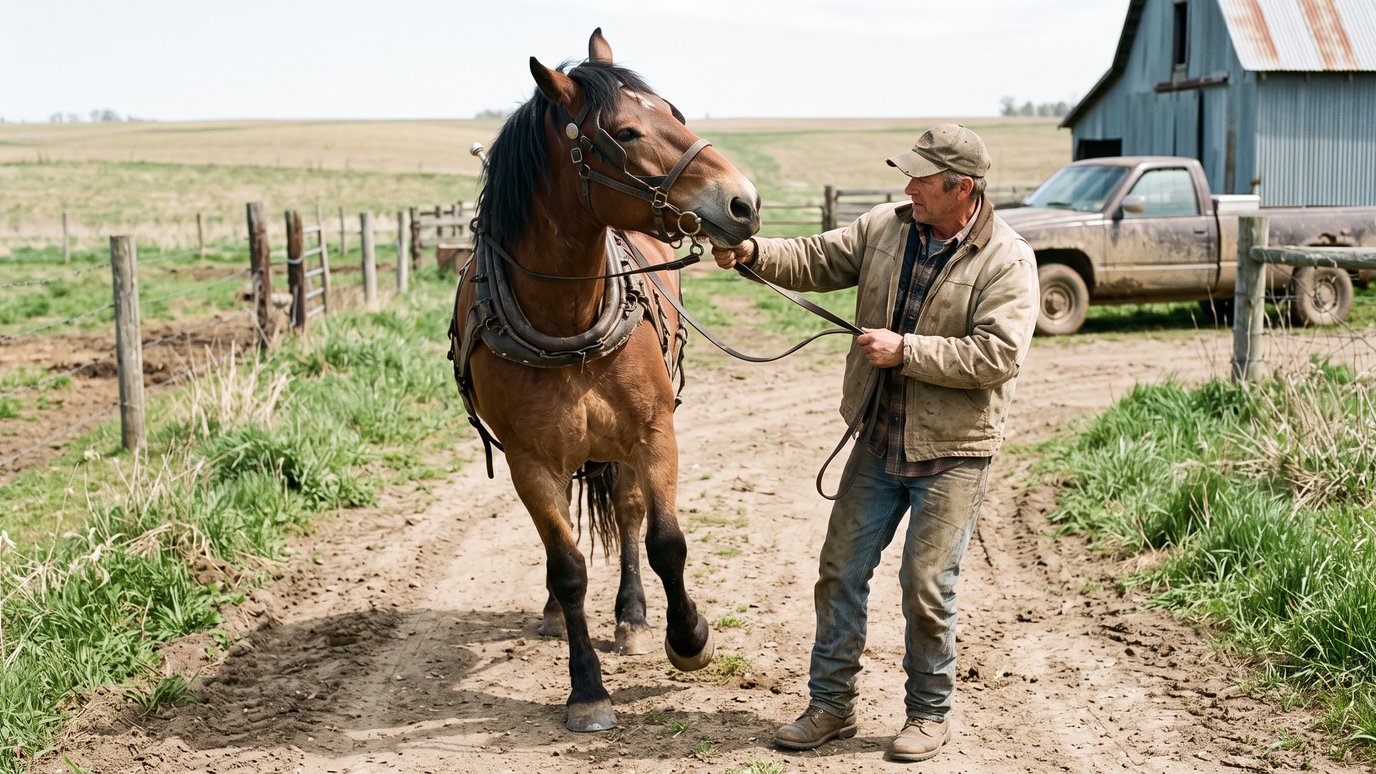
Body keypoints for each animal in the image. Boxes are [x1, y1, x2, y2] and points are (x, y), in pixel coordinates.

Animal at [449, 29, 761, 732]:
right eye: (624, 131)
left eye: (673, 112)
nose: (743, 202)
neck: (568, 319)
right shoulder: (531, 461)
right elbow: (567, 569)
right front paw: (586, 689)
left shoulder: (652, 434)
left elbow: (665, 541)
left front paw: (688, 638)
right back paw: (551, 615)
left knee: (627, 511)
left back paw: (633, 616)